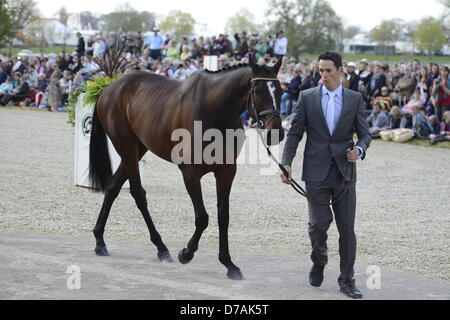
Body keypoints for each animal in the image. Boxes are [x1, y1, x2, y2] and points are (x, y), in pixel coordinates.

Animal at [89, 57, 284, 280]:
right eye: (258, 91)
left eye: (280, 91)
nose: (276, 132)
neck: (214, 110)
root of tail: (110, 87)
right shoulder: (190, 172)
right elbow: (202, 218)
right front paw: (186, 253)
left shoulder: (226, 171)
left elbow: (223, 217)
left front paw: (229, 264)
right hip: (127, 149)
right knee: (138, 194)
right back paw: (161, 247)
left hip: (138, 150)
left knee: (113, 187)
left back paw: (100, 240)